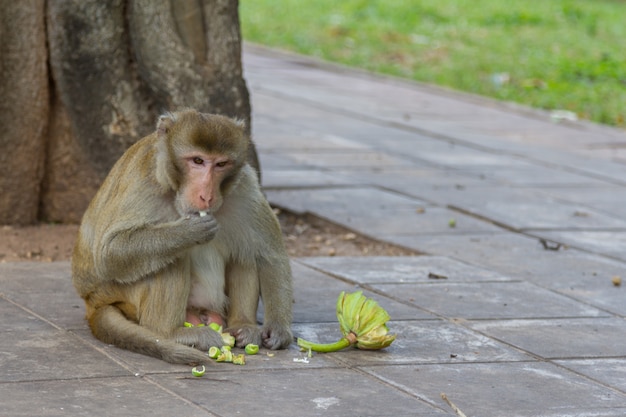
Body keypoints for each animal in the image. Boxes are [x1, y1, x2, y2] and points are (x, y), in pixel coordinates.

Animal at [71, 109, 292, 362]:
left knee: (245, 252)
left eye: (221, 164)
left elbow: (271, 255)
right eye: (197, 161)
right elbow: (109, 253)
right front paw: (188, 232)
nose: (206, 195)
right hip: (119, 295)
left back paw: (242, 325)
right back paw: (170, 333)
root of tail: (92, 302)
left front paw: (278, 329)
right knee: (171, 258)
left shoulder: (245, 184)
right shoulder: (143, 182)